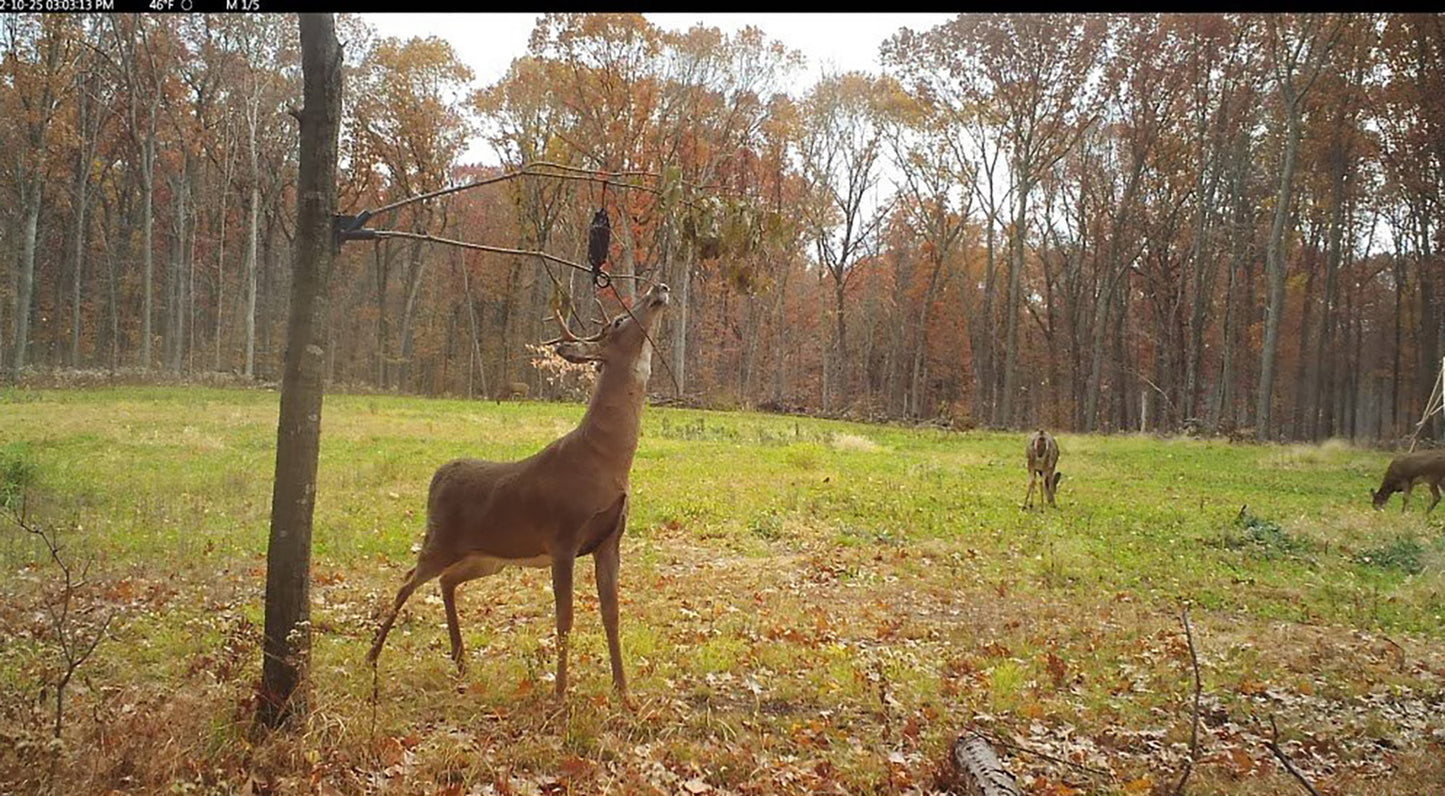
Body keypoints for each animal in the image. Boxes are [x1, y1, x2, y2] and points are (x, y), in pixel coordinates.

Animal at [367, 280, 670, 704]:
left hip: (487, 557)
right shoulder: (563, 537)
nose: (659, 288)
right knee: (406, 581)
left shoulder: (610, 540)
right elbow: (565, 618)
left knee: (446, 581)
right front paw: (560, 696)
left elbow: (612, 615)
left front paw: (624, 696)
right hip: (440, 540)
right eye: (618, 321)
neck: (604, 461)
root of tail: (438, 475)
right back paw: (372, 658)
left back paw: (461, 661)